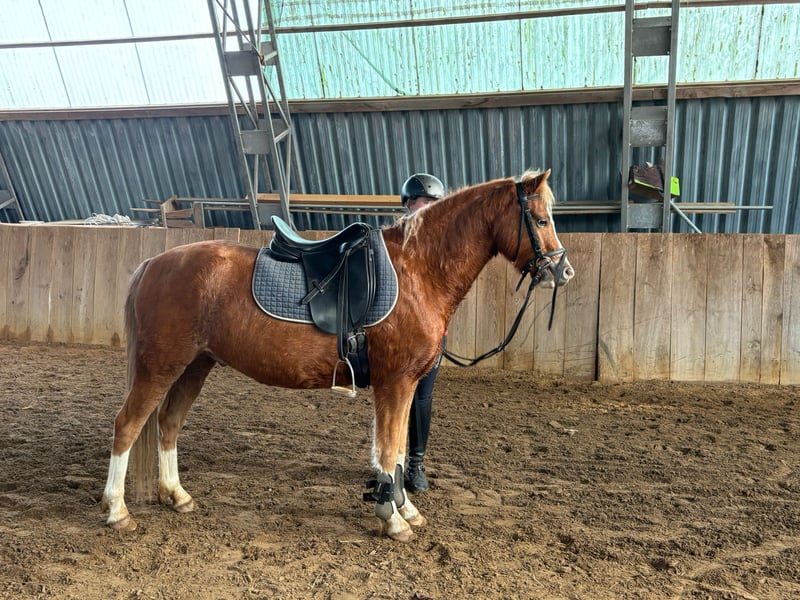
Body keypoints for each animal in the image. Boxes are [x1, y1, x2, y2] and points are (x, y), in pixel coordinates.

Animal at [101, 169, 574, 542]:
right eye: (540, 218)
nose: (563, 270)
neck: (417, 271)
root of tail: (154, 263)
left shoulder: (405, 386)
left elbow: (396, 453)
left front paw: (405, 510)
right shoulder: (395, 384)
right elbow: (388, 450)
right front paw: (392, 519)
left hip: (194, 366)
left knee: (168, 424)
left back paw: (176, 495)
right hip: (160, 366)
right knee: (127, 425)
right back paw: (117, 511)